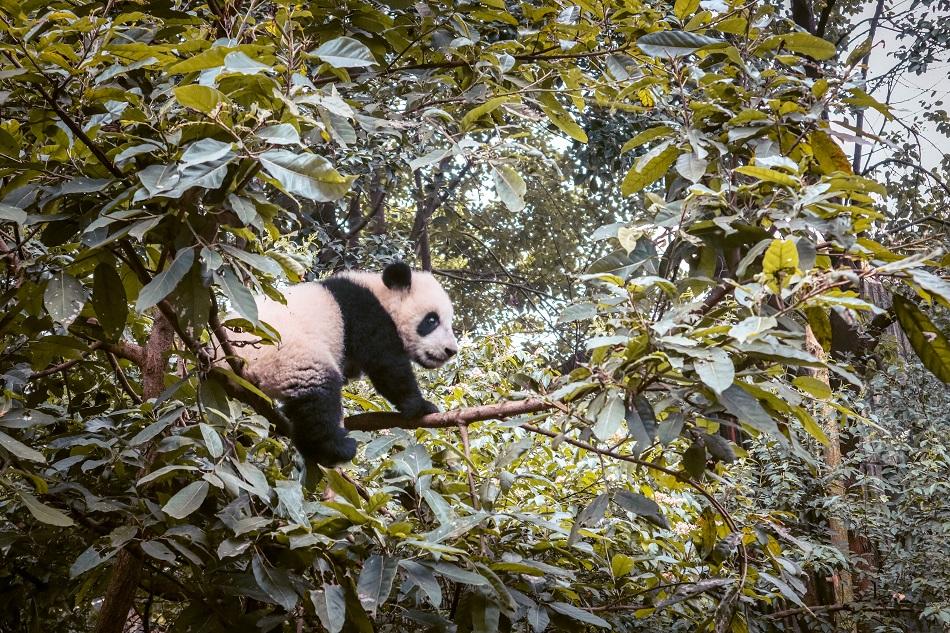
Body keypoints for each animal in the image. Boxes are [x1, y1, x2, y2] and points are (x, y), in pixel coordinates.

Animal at [227, 262, 458, 466]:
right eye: (432, 320)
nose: (451, 351)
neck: (381, 293)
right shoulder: (365, 315)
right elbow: (387, 366)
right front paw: (421, 407)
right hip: (285, 354)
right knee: (320, 397)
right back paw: (334, 449)